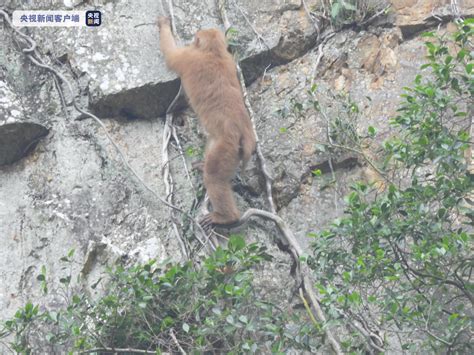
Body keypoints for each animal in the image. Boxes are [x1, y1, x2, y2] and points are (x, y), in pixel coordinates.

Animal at [158, 16, 256, 228]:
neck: (214, 52)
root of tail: (245, 135)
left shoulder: (188, 56)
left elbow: (170, 54)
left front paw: (163, 24)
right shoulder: (229, 60)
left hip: (226, 149)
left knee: (214, 177)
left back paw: (226, 217)